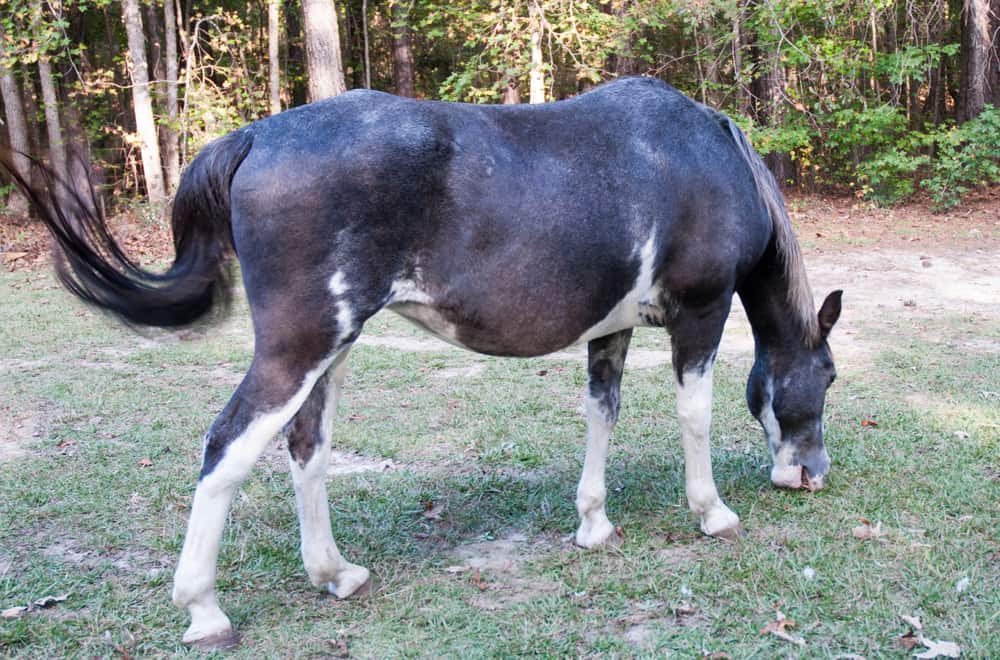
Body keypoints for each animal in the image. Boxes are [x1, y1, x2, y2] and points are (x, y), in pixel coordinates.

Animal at [2, 77, 841, 650]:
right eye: (828, 376)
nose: (811, 473)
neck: (704, 157)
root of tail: (256, 139)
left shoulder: (613, 329)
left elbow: (601, 414)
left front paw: (594, 524)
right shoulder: (700, 313)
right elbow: (693, 415)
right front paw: (712, 512)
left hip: (331, 348)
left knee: (307, 447)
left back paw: (334, 573)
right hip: (299, 346)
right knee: (227, 448)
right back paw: (204, 609)